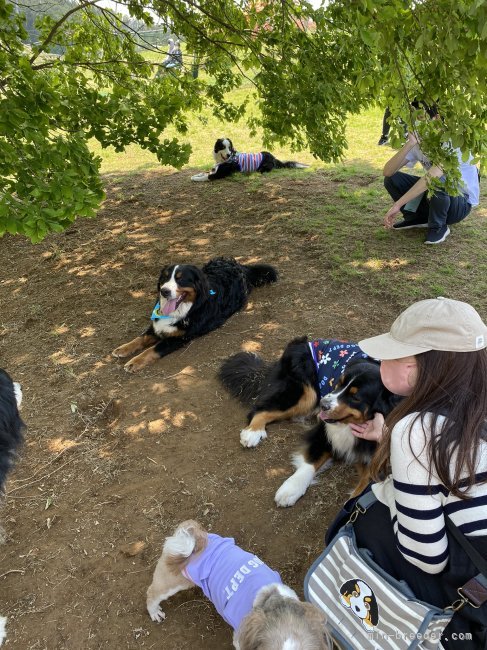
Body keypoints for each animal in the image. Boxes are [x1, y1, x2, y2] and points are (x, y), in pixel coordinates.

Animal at [111, 256, 278, 372]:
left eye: (180, 279)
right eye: (164, 277)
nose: (164, 291)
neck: (182, 309)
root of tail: (238, 266)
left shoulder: (179, 338)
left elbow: (152, 349)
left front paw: (134, 362)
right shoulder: (157, 325)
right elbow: (140, 338)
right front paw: (123, 348)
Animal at [219, 336, 402, 508]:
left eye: (355, 397)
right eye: (338, 383)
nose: (323, 405)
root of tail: (301, 343)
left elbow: (361, 493)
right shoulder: (323, 431)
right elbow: (310, 461)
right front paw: (290, 489)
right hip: (306, 394)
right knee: (260, 409)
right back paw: (252, 433)